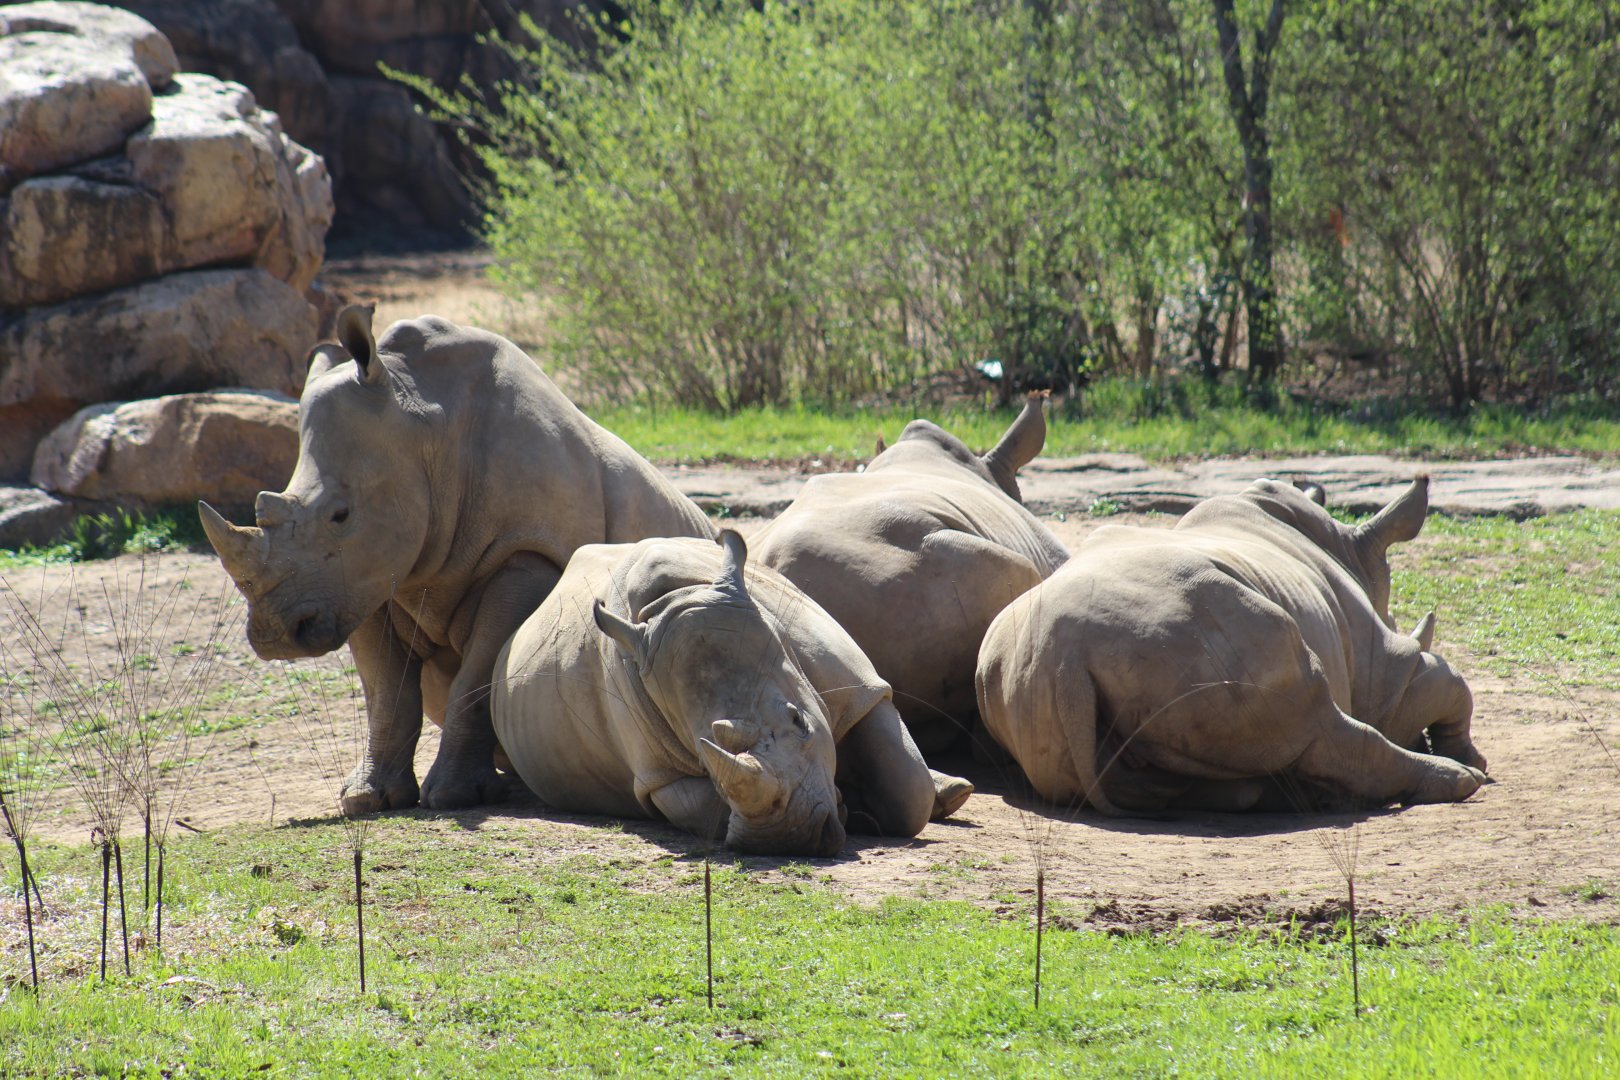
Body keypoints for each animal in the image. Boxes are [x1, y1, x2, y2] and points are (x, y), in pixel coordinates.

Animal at [199, 305, 715, 813]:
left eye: (340, 515)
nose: (276, 635)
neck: (427, 431)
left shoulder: (525, 551)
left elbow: (478, 677)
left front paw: (453, 797)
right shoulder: (361, 580)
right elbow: (386, 691)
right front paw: (367, 799)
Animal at [491, 530, 973, 855]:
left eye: (799, 722)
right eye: (703, 750)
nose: (790, 838)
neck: (675, 598)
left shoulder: (859, 686)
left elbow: (907, 788)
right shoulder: (659, 774)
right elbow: (706, 807)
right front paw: (845, 805)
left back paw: (951, 793)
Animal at [976, 476, 1489, 813]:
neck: (1351, 553)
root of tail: (1066, 660)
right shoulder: (1385, 670)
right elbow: (1441, 681)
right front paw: (1470, 757)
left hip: (1025, 684)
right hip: (1205, 637)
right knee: (1319, 718)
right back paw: (1459, 779)